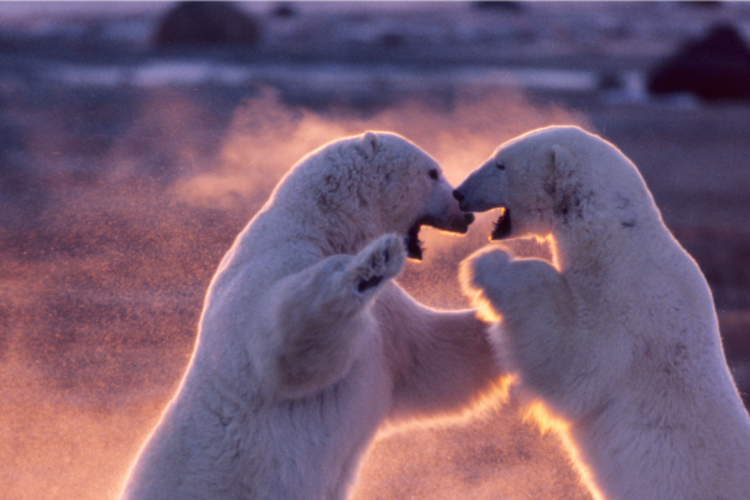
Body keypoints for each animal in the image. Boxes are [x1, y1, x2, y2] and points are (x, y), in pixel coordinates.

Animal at [120, 131, 501, 500]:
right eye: (433, 172)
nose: (465, 213)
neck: (323, 225)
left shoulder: (389, 320)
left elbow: (438, 358)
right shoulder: (271, 270)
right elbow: (289, 349)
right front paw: (372, 263)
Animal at [454, 126, 750, 500]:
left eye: (500, 164)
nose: (459, 193)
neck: (616, 234)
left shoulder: (629, 299)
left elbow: (577, 363)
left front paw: (486, 266)